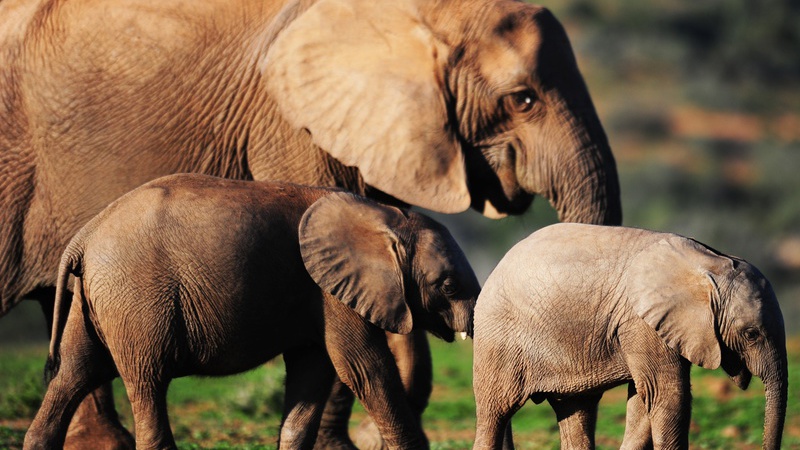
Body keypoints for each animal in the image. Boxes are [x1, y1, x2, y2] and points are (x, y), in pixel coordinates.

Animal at [22, 174, 481, 450]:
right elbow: (365, 370)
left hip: (92, 300)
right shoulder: (331, 292)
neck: (383, 215)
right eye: (448, 286)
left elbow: (313, 373)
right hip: (135, 299)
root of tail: (83, 237)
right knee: (146, 379)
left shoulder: (316, 295)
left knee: (75, 371)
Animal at [472, 224, 787, 450]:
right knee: (495, 413)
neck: (711, 262)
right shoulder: (641, 322)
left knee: (576, 410)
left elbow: (644, 400)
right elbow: (667, 396)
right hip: (497, 339)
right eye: (751, 334)